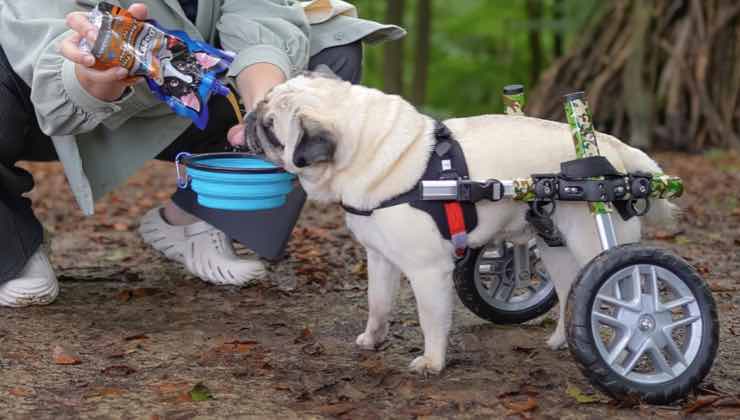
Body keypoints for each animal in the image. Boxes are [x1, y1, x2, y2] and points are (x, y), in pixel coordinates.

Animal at [247, 72, 676, 374]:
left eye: (272, 128)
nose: (250, 115)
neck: (370, 151)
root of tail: (613, 149)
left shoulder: (426, 270)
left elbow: (431, 319)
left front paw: (433, 362)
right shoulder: (380, 257)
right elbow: (378, 302)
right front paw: (373, 338)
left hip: (594, 244)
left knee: (615, 291)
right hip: (552, 244)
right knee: (571, 285)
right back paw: (561, 341)